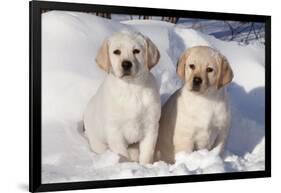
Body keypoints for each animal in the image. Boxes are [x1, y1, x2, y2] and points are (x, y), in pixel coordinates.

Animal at [83, 30, 161, 164]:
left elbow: (146, 154)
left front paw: (145, 166)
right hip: (98, 142)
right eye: (116, 52)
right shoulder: (114, 132)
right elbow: (122, 154)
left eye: (136, 51)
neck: (131, 88)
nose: (126, 64)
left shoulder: (151, 127)